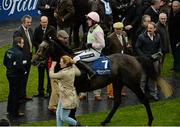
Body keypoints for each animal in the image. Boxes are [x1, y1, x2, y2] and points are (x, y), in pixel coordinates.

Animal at [31, 40, 159, 125]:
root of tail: (135, 58)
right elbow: (71, 113)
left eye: (44, 48)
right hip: (118, 83)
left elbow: (72, 113)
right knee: (117, 102)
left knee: (144, 99)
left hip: (133, 83)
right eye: (39, 46)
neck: (69, 64)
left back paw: (150, 121)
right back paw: (105, 121)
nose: (34, 61)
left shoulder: (75, 90)